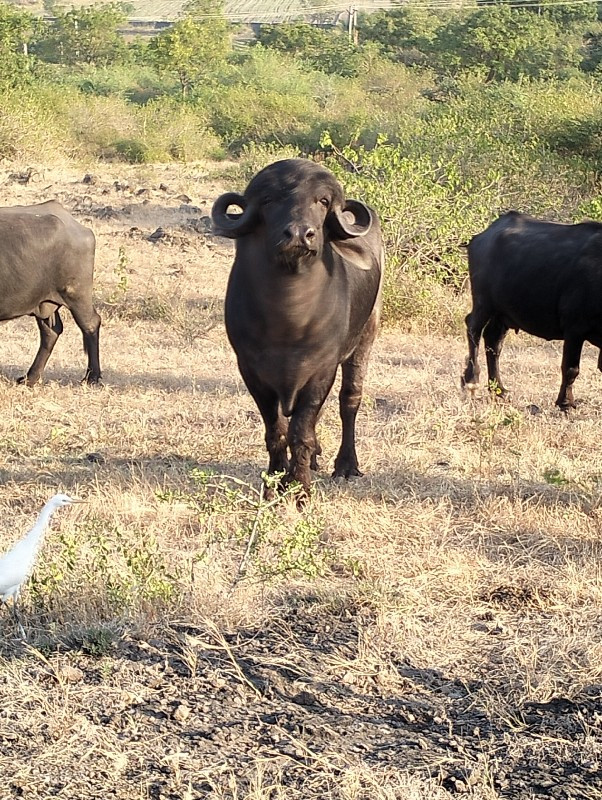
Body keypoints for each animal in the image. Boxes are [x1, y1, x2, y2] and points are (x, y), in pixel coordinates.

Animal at [0, 202, 101, 386]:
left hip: (76, 294)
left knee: (90, 324)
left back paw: (92, 377)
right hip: (44, 303)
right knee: (51, 332)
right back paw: (30, 378)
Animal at [210, 157, 380, 496]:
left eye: (323, 201)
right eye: (269, 200)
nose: (301, 235)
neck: (289, 322)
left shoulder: (322, 370)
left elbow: (301, 430)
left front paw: (299, 487)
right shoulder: (251, 370)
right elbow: (277, 429)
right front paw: (274, 481)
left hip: (367, 334)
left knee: (349, 400)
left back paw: (346, 464)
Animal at [460, 209, 600, 410]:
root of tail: (481, 237)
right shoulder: (574, 329)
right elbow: (571, 369)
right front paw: (565, 402)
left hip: (502, 313)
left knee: (493, 342)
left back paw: (499, 390)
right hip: (483, 302)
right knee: (473, 328)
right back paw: (471, 381)